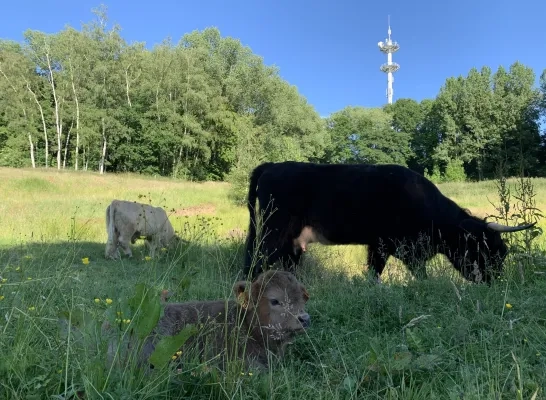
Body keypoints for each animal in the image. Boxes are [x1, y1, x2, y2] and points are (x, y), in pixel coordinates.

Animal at [241, 161, 532, 282]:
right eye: (486, 251)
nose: (494, 283)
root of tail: (272, 165)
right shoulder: (388, 245)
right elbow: (391, 273)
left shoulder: (381, 246)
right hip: (272, 233)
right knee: (254, 260)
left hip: (291, 243)